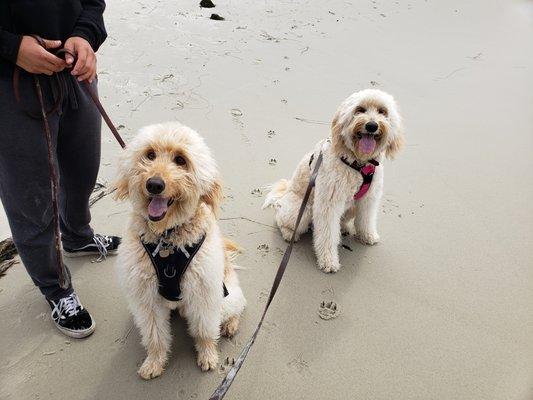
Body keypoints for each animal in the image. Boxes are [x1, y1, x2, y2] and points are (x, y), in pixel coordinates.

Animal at [114, 122, 245, 378]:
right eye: (150, 155)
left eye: (181, 160)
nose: (154, 184)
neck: (167, 236)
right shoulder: (147, 300)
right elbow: (155, 336)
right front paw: (154, 362)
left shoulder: (204, 294)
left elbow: (205, 330)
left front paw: (208, 355)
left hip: (225, 296)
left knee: (239, 305)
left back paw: (230, 324)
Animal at [262, 89, 404, 274]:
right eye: (360, 109)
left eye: (382, 111)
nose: (372, 126)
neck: (358, 163)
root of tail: (284, 193)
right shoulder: (328, 204)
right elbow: (327, 234)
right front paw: (328, 261)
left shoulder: (369, 198)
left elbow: (366, 219)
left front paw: (367, 235)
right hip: (302, 211)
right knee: (282, 220)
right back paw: (289, 234)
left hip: (351, 207)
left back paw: (345, 228)